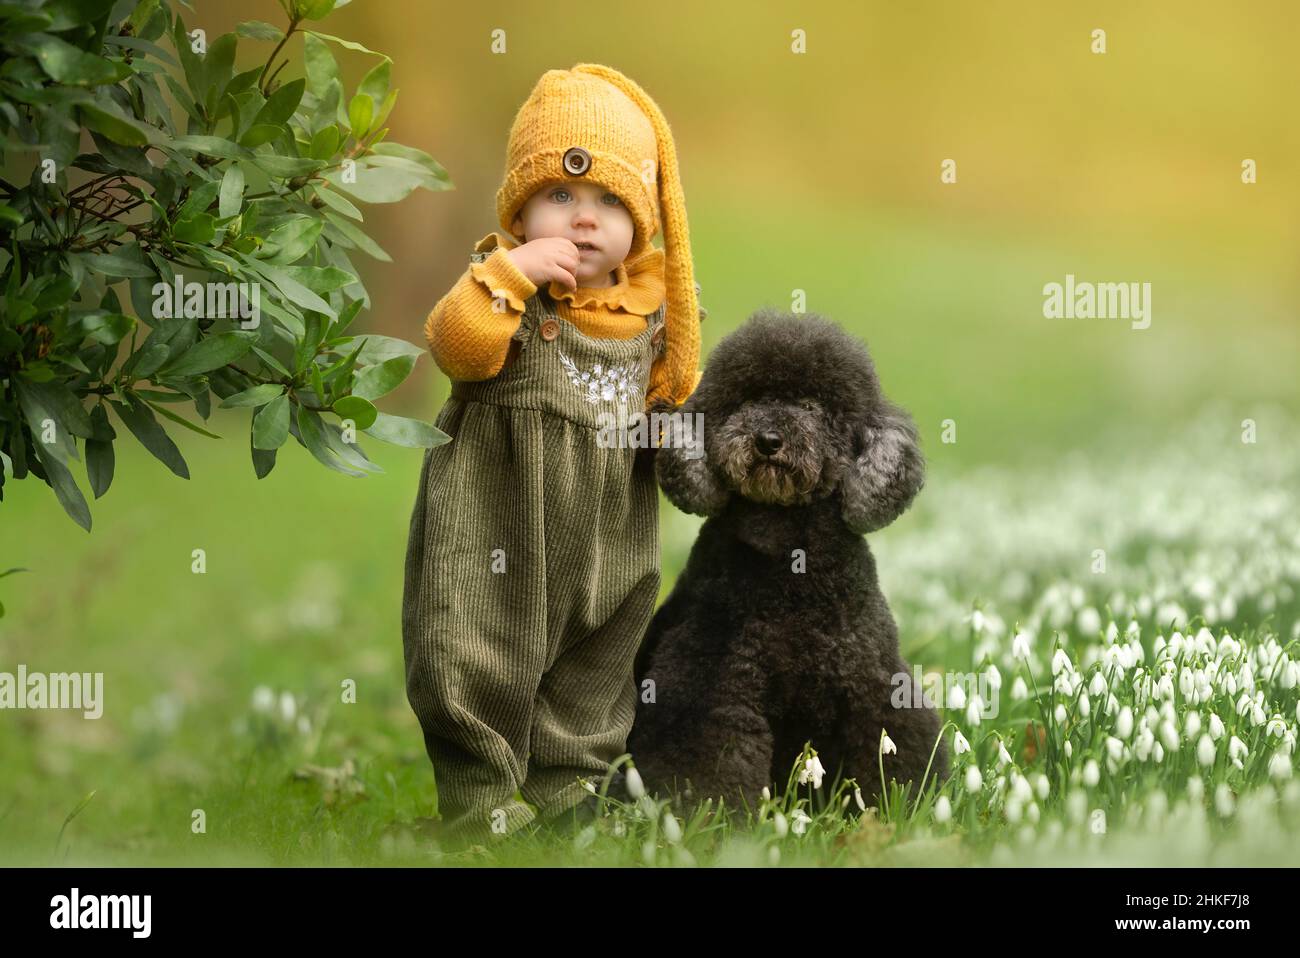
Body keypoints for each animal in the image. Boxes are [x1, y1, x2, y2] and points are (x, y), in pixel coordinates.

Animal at [624, 310, 951, 816]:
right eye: (748, 400)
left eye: (813, 406)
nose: (768, 440)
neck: (791, 566)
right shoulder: (712, 682)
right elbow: (706, 759)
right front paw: (714, 822)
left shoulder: (873, 682)